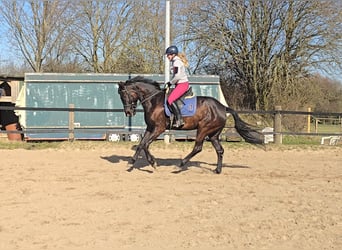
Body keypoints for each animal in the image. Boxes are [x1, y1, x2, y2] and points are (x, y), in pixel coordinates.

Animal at [118, 76, 264, 174]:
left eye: (124, 95)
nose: (128, 112)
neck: (154, 100)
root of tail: (223, 107)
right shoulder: (150, 128)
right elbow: (141, 144)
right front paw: (131, 162)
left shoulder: (159, 128)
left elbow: (146, 144)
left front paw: (153, 163)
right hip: (213, 134)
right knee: (219, 150)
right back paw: (217, 170)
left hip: (203, 129)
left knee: (198, 147)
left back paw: (180, 165)